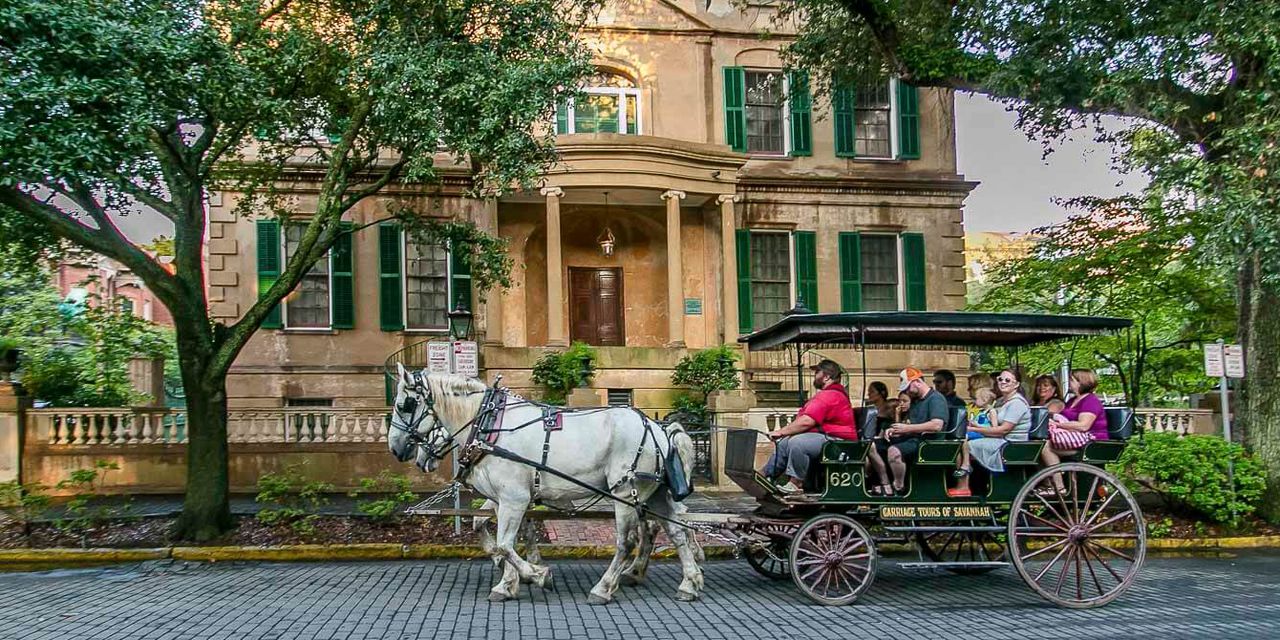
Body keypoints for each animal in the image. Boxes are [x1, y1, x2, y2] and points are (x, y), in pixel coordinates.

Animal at [391, 368, 711, 601]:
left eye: (405, 405)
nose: (396, 448)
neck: (489, 425)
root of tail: (658, 427)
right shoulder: (510, 498)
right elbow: (502, 534)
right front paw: (510, 580)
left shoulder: (514, 497)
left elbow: (506, 543)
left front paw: (535, 574)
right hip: (653, 492)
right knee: (676, 531)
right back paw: (689, 582)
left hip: (625, 491)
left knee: (628, 541)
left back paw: (605, 587)